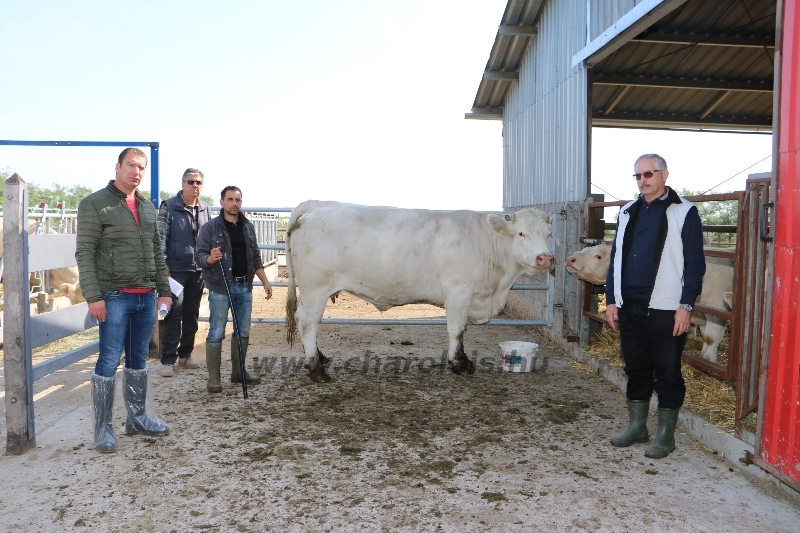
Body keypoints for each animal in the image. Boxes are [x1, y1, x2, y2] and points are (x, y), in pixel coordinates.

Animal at [284, 201, 552, 382]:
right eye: (521, 233)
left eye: (549, 234)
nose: (545, 258)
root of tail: (317, 205)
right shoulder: (459, 291)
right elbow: (457, 329)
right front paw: (459, 363)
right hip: (315, 287)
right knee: (307, 322)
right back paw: (317, 369)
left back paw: (320, 357)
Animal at [564, 243, 736, 364]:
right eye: (585, 248)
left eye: (598, 256)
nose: (570, 259)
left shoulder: (717, 307)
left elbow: (710, 337)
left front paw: (708, 360)